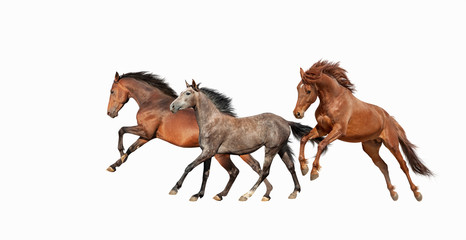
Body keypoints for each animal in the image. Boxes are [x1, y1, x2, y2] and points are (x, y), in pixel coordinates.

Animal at [105, 72, 274, 202]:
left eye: (112, 91)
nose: (110, 113)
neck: (153, 102)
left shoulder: (146, 132)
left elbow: (121, 131)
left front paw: (120, 155)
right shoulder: (148, 136)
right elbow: (132, 148)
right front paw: (115, 164)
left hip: (221, 155)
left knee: (236, 171)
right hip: (237, 153)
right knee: (256, 166)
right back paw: (265, 193)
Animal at [170, 80, 324, 201]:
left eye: (188, 93)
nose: (172, 106)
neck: (211, 122)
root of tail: (286, 121)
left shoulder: (209, 151)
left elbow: (189, 166)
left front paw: (175, 189)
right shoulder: (208, 153)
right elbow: (205, 174)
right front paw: (197, 195)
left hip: (271, 149)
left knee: (264, 172)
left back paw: (247, 195)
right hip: (281, 148)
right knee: (290, 166)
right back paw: (294, 192)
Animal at [294, 60, 432, 201]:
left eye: (308, 91)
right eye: (297, 88)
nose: (297, 113)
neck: (335, 100)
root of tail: (389, 118)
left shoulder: (338, 130)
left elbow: (321, 144)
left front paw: (314, 171)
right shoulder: (323, 129)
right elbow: (304, 139)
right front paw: (304, 167)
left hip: (392, 145)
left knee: (403, 165)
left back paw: (417, 193)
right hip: (371, 148)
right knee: (383, 165)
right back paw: (393, 193)